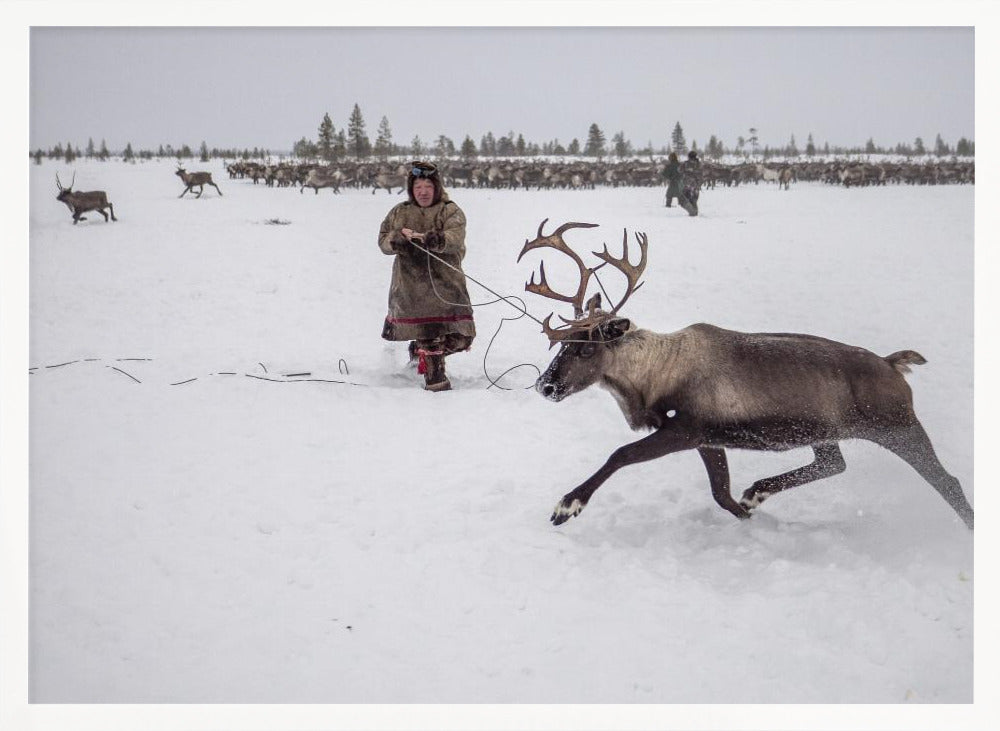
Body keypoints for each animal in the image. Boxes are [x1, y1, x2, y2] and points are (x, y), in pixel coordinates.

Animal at [517, 220, 973, 530]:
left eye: (586, 346)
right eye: (562, 343)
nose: (545, 385)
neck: (654, 375)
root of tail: (894, 363)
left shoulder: (685, 429)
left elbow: (620, 454)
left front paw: (568, 505)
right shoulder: (708, 438)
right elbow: (720, 493)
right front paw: (749, 514)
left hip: (898, 426)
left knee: (947, 481)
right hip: (826, 431)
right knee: (834, 463)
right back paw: (758, 491)